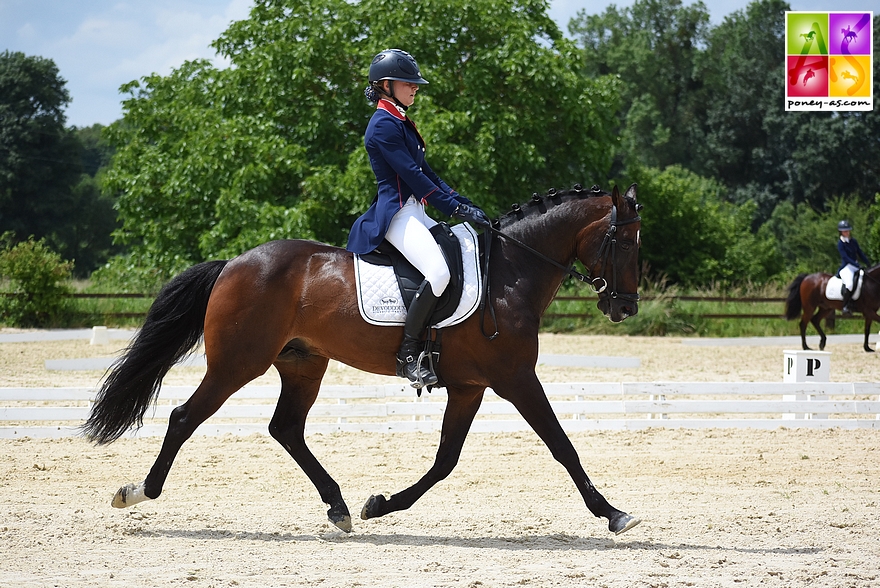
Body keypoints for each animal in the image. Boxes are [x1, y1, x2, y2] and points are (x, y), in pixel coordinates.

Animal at [82, 185, 644, 536]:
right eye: (624, 241)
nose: (625, 308)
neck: (510, 273)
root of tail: (233, 264)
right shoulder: (516, 378)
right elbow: (562, 446)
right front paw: (614, 514)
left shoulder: (470, 387)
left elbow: (446, 460)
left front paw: (381, 505)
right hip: (237, 365)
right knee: (185, 417)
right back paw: (137, 492)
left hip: (303, 364)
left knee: (286, 428)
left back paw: (340, 507)